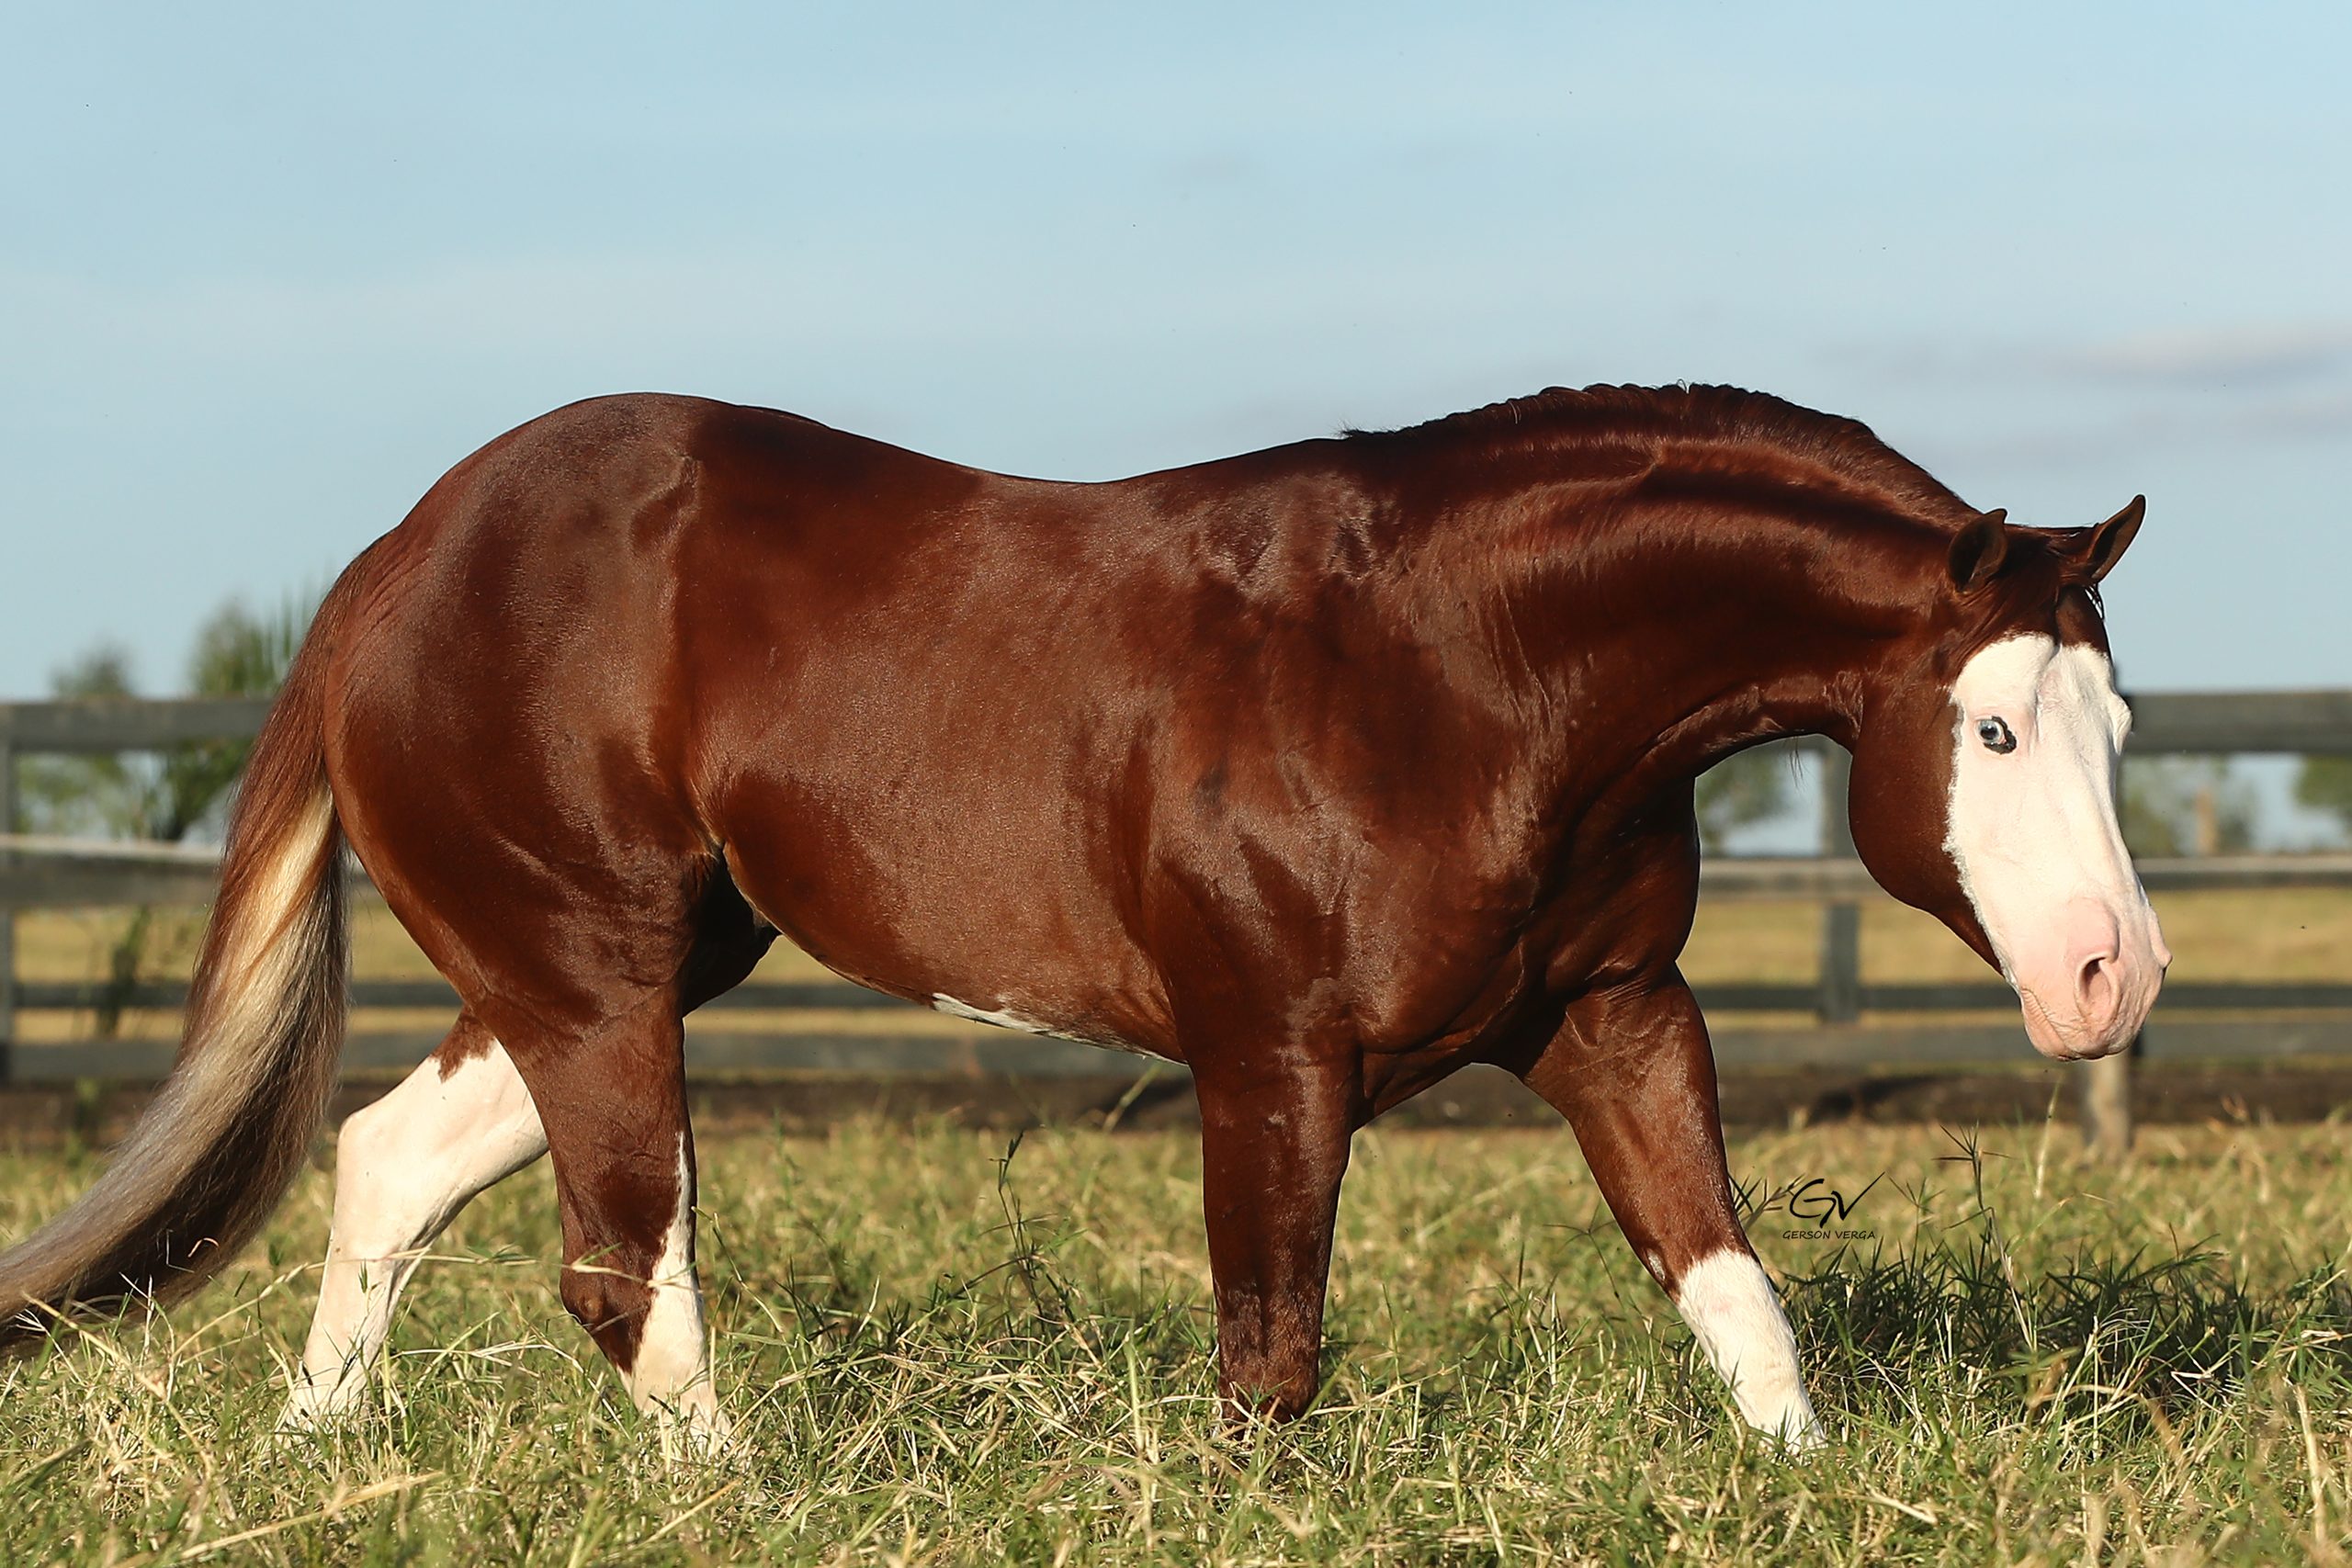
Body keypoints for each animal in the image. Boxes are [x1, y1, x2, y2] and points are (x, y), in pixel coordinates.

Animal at [5, 380, 2164, 1448]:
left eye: (2119, 721)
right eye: (1987, 724)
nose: (2107, 977)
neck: (1461, 669)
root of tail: (393, 562)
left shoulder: (1613, 1013)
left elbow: (1732, 1294)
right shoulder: (1269, 1052)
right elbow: (1269, 1355)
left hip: (600, 973)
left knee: (385, 1164)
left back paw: (316, 1460)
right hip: (596, 977)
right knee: (624, 1273)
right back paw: (747, 1489)